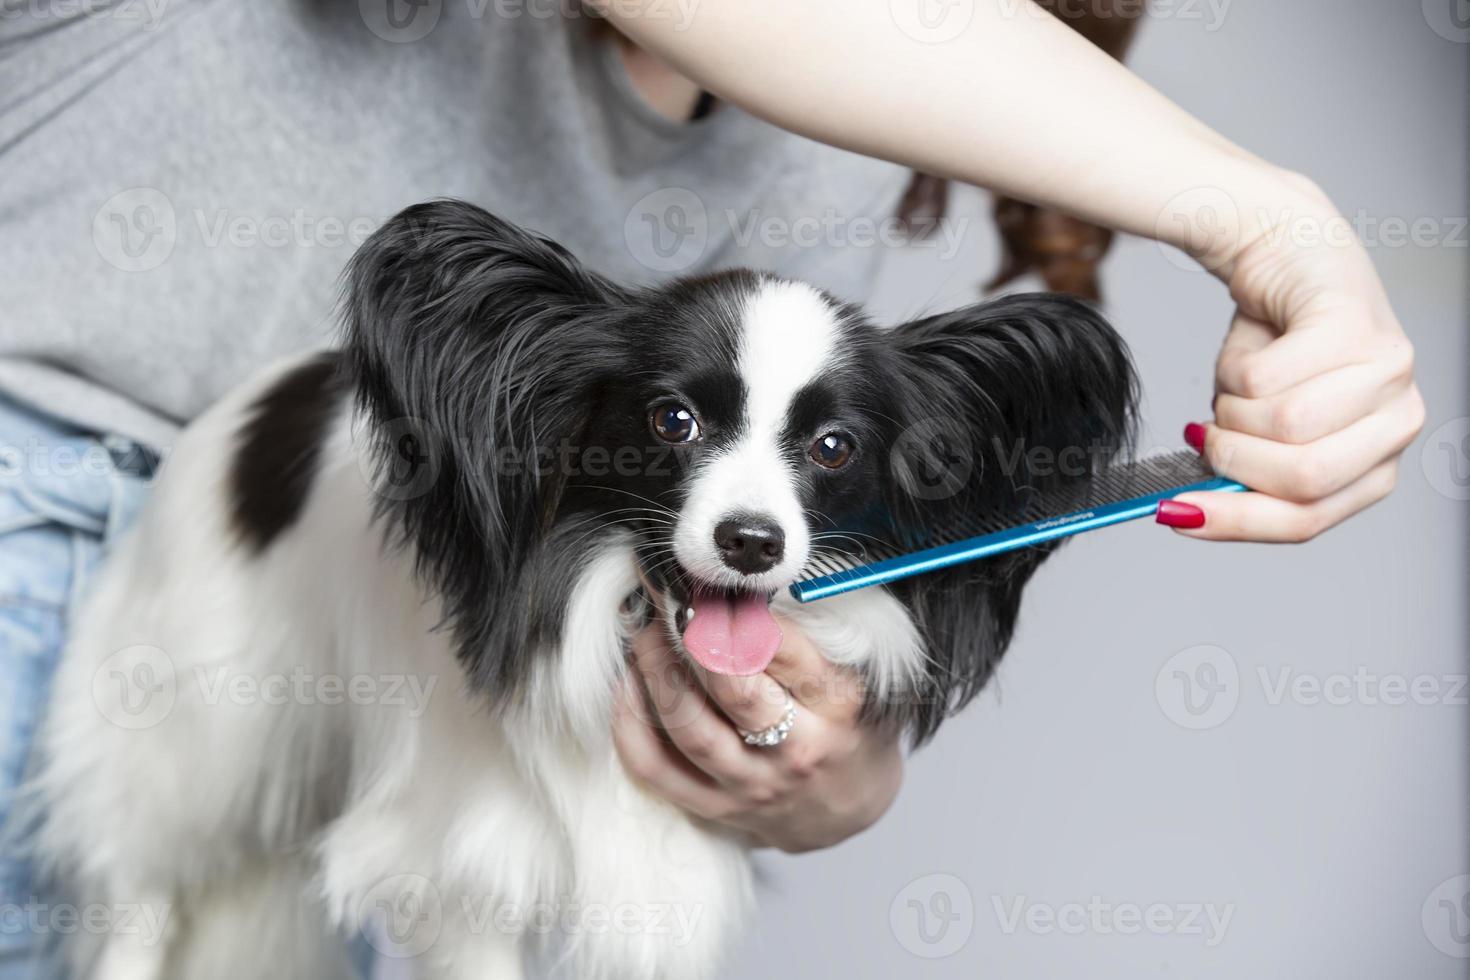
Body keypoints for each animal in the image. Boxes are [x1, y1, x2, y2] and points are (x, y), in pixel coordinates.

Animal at [31, 199, 1134, 980]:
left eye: (833, 448)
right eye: (673, 421)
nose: (751, 540)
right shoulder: (470, 870)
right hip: (194, 738)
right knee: (141, 892)